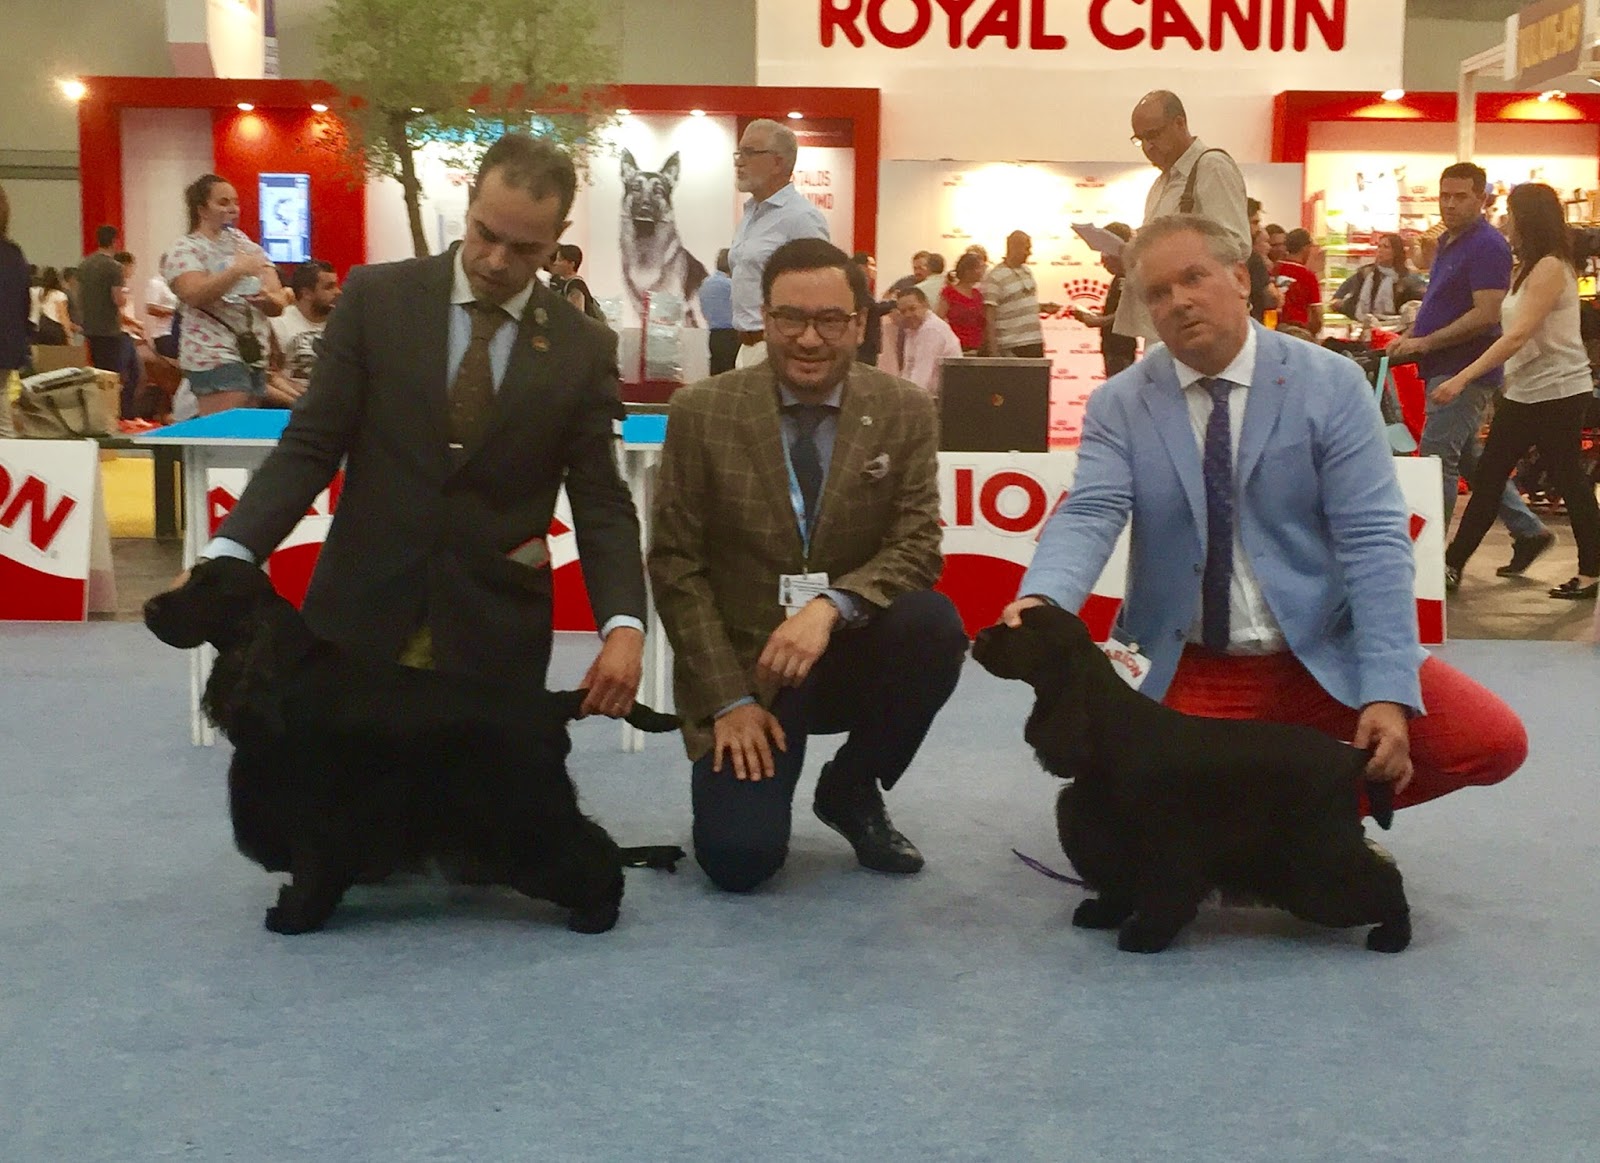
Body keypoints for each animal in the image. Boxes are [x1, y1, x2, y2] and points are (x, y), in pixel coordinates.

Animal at [144, 556, 683, 936]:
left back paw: (597, 913)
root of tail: (549, 703)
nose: (149, 609)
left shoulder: (317, 808)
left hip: (528, 805)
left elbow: (311, 867)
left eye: (208, 590)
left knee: (592, 849)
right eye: (191, 578)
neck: (284, 672)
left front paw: (294, 916)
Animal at [972, 605, 1411, 954]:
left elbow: (1164, 892)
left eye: (1026, 629)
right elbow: (1117, 882)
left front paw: (1145, 935)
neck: (1106, 726)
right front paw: (1102, 913)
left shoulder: (1163, 841)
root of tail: (1352, 755)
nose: (978, 637)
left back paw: (1393, 937)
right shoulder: (1107, 833)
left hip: (1318, 851)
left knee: (1385, 881)